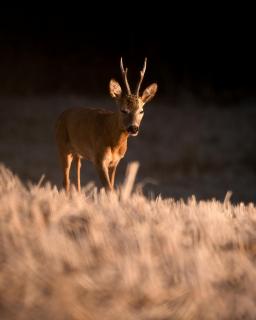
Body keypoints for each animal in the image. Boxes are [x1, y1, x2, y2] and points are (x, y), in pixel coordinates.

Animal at [55, 57, 157, 192]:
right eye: (123, 110)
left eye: (141, 111)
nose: (133, 128)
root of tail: (61, 115)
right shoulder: (99, 159)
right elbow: (109, 189)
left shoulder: (115, 162)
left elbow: (111, 186)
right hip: (62, 147)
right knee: (65, 182)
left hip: (78, 153)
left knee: (77, 178)